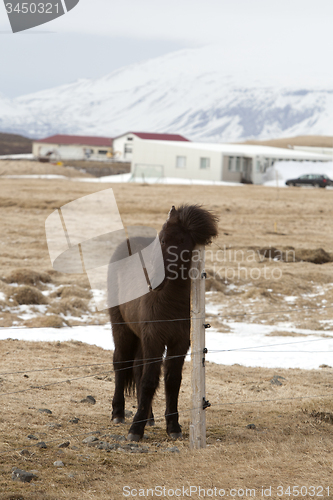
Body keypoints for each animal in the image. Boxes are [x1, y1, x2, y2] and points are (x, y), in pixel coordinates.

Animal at [109, 204, 218, 442]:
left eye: (182, 241)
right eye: (162, 239)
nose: (154, 279)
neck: (169, 300)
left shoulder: (179, 343)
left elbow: (171, 381)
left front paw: (173, 427)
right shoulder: (154, 339)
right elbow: (150, 380)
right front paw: (135, 430)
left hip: (140, 337)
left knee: (137, 370)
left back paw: (148, 418)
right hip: (122, 330)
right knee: (121, 363)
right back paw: (118, 413)